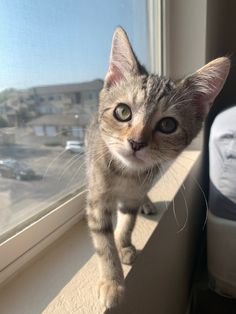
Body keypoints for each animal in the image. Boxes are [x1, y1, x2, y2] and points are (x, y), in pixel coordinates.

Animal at [85, 27, 230, 310]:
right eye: (122, 112)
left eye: (167, 125)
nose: (136, 143)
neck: (126, 174)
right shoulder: (98, 198)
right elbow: (103, 241)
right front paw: (112, 281)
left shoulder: (133, 193)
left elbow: (127, 221)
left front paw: (124, 243)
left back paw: (146, 203)